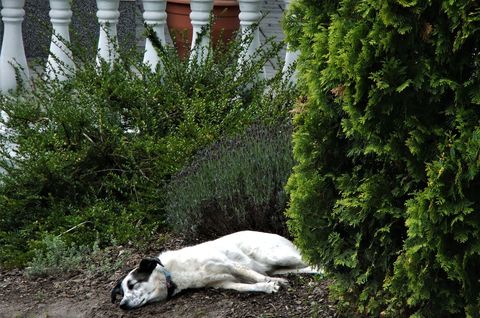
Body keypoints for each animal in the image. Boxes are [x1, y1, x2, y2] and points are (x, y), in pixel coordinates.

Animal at [111, 230, 320, 310]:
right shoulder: (224, 282)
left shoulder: (230, 264)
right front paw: (267, 287)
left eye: (132, 284)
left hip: (274, 256)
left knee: (314, 261)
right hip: (282, 266)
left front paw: (271, 284)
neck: (171, 273)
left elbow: (253, 275)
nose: (122, 305)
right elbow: (247, 286)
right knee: (304, 267)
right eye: (121, 293)